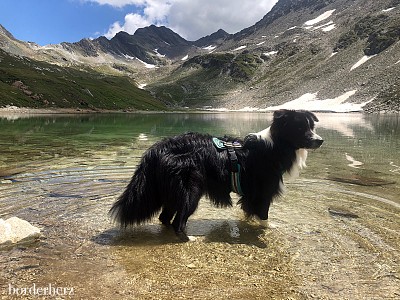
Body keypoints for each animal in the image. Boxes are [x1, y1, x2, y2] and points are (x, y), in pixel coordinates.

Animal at [109, 109, 322, 240]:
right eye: (300, 128)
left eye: (312, 126)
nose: (320, 140)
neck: (276, 146)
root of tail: (156, 148)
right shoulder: (263, 192)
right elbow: (264, 216)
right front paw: (269, 228)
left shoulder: (250, 196)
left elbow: (248, 212)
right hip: (191, 190)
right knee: (178, 220)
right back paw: (188, 238)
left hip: (171, 192)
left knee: (164, 217)